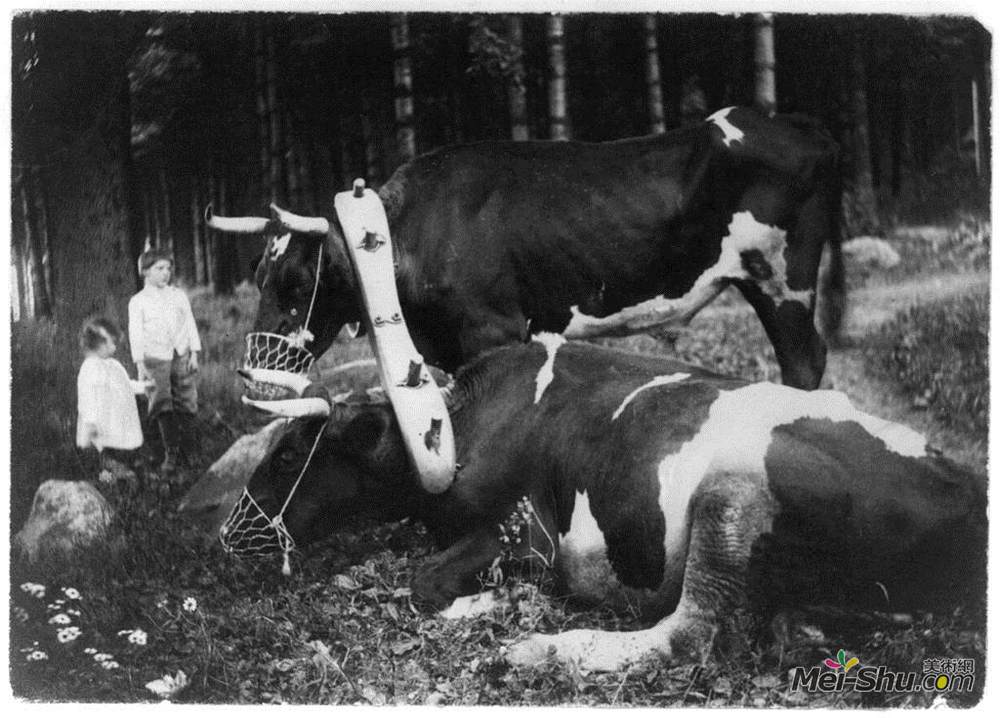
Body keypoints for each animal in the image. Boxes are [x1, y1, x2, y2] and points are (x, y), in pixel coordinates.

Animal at [209, 105, 844, 390]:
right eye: (257, 277)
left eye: (295, 282)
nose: (249, 370)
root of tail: (805, 129)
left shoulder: (493, 330)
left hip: (782, 280)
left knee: (805, 361)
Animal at [221, 340, 984, 672]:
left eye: (288, 456)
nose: (229, 535)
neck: (465, 422)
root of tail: (967, 495)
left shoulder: (522, 532)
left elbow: (425, 582)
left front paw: (490, 603)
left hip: (730, 499)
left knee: (688, 634)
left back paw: (539, 648)